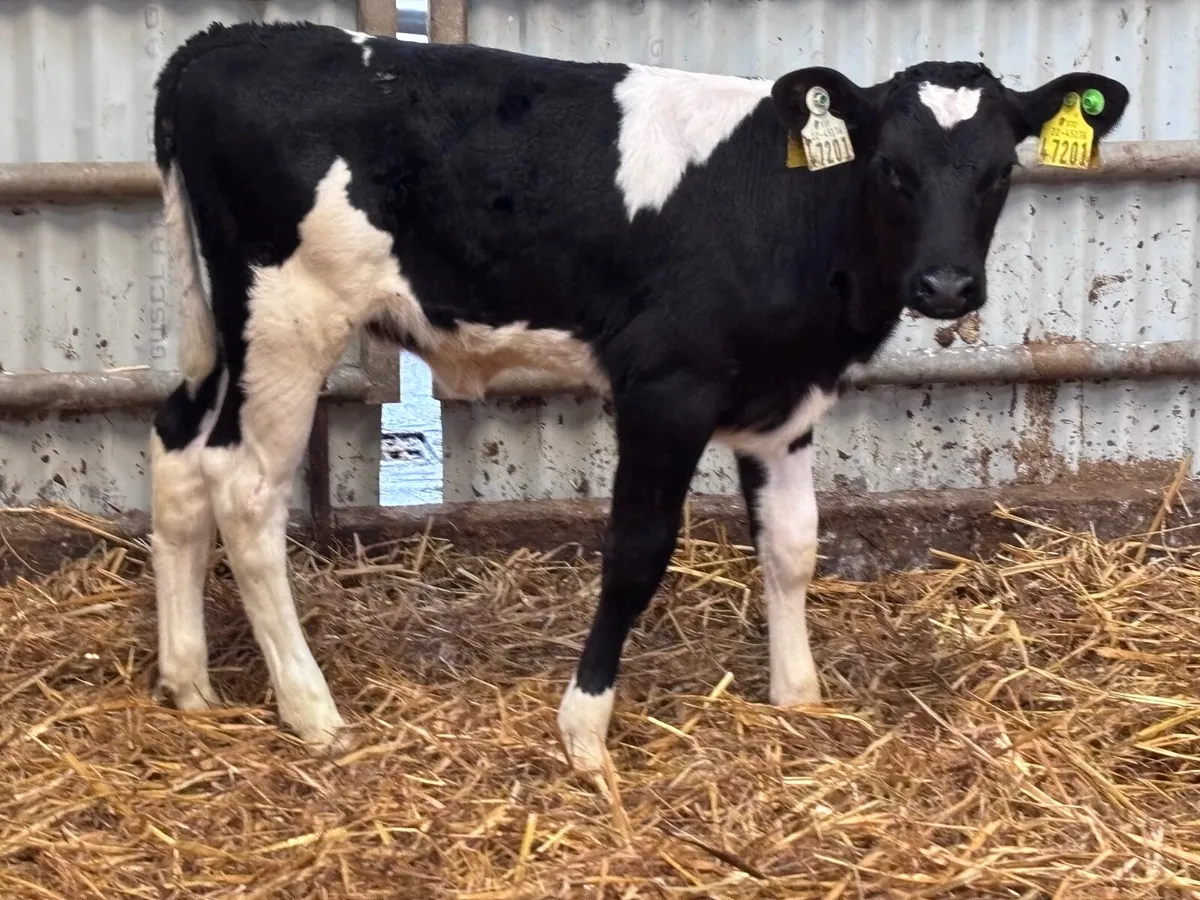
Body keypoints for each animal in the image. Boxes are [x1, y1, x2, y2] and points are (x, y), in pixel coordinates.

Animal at [149, 20, 1128, 772]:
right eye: (891, 166)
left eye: (1000, 170)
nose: (947, 286)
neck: (790, 211)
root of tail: (223, 40)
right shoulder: (666, 387)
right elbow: (636, 552)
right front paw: (584, 729)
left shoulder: (785, 403)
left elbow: (793, 547)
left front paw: (799, 697)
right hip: (289, 317)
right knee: (245, 492)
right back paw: (311, 708)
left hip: (221, 330)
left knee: (178, 452)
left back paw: (189, 682)